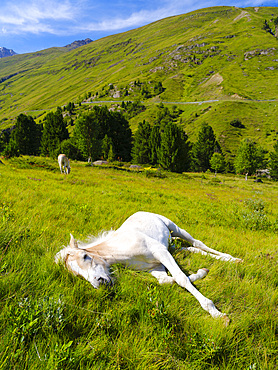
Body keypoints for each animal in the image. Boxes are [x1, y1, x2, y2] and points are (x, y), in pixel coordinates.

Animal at [55, 211, 242, 324]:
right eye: (78, 275)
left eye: (85, 256)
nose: (100, 282)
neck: (121, 247)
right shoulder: (155, 267)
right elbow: (168, 281)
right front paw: (202, 272)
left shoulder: (160, 252)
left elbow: (181, 278)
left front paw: (217, 314)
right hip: (172, 246)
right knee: (190, 249)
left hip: (175, 228)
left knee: (197, 243)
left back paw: (233, 259)